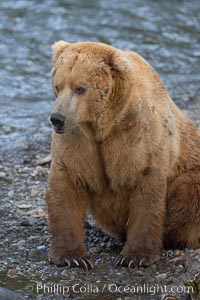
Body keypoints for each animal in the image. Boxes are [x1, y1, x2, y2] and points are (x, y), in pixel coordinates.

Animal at [45, 40, 200, 270]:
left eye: (80, 88)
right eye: (58, 85)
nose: (57, 118)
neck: (102, 126)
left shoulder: (137, 137)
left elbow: (146, 192)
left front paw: (135, 256)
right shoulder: (78, 142)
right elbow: (66, 186)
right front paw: (72, 256)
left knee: (186, 190)